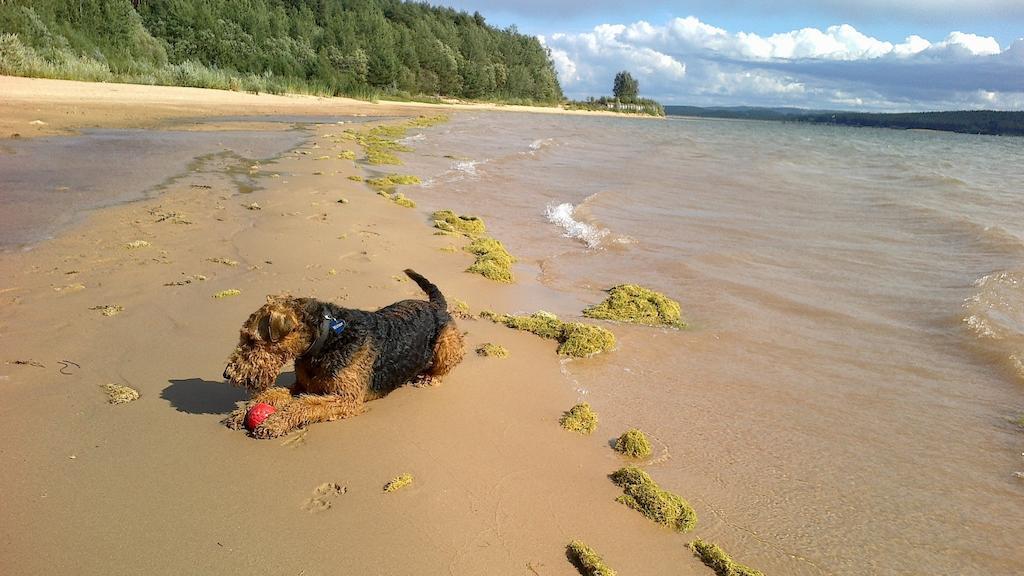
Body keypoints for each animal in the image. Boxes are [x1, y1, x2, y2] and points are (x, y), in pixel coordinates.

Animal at [225, 268, 468, 434]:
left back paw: (428, 377)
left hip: (446, 345)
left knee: (444, 367)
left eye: (250, 340)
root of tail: (436, 305)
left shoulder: (346, 398)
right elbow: (273, 394)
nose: (227, 374)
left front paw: (274, 423)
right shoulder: (302, 386)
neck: (325, 339)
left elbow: (303, 404)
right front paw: (241, 413)